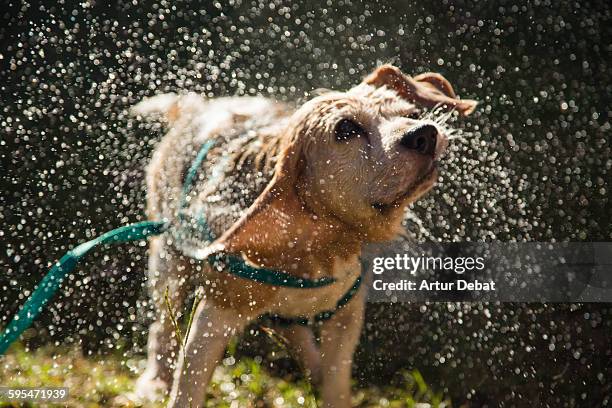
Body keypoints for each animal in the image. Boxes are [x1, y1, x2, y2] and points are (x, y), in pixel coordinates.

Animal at [131, 65, 476, 406]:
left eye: (412, 113)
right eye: (346, 129)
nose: (425, 133)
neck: (317, 237)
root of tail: (197, 107)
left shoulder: (347, 314)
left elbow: (337, 381)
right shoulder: (217, 313)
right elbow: (189, 386)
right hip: (167, 261)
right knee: (163, 325)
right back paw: (156, 380)